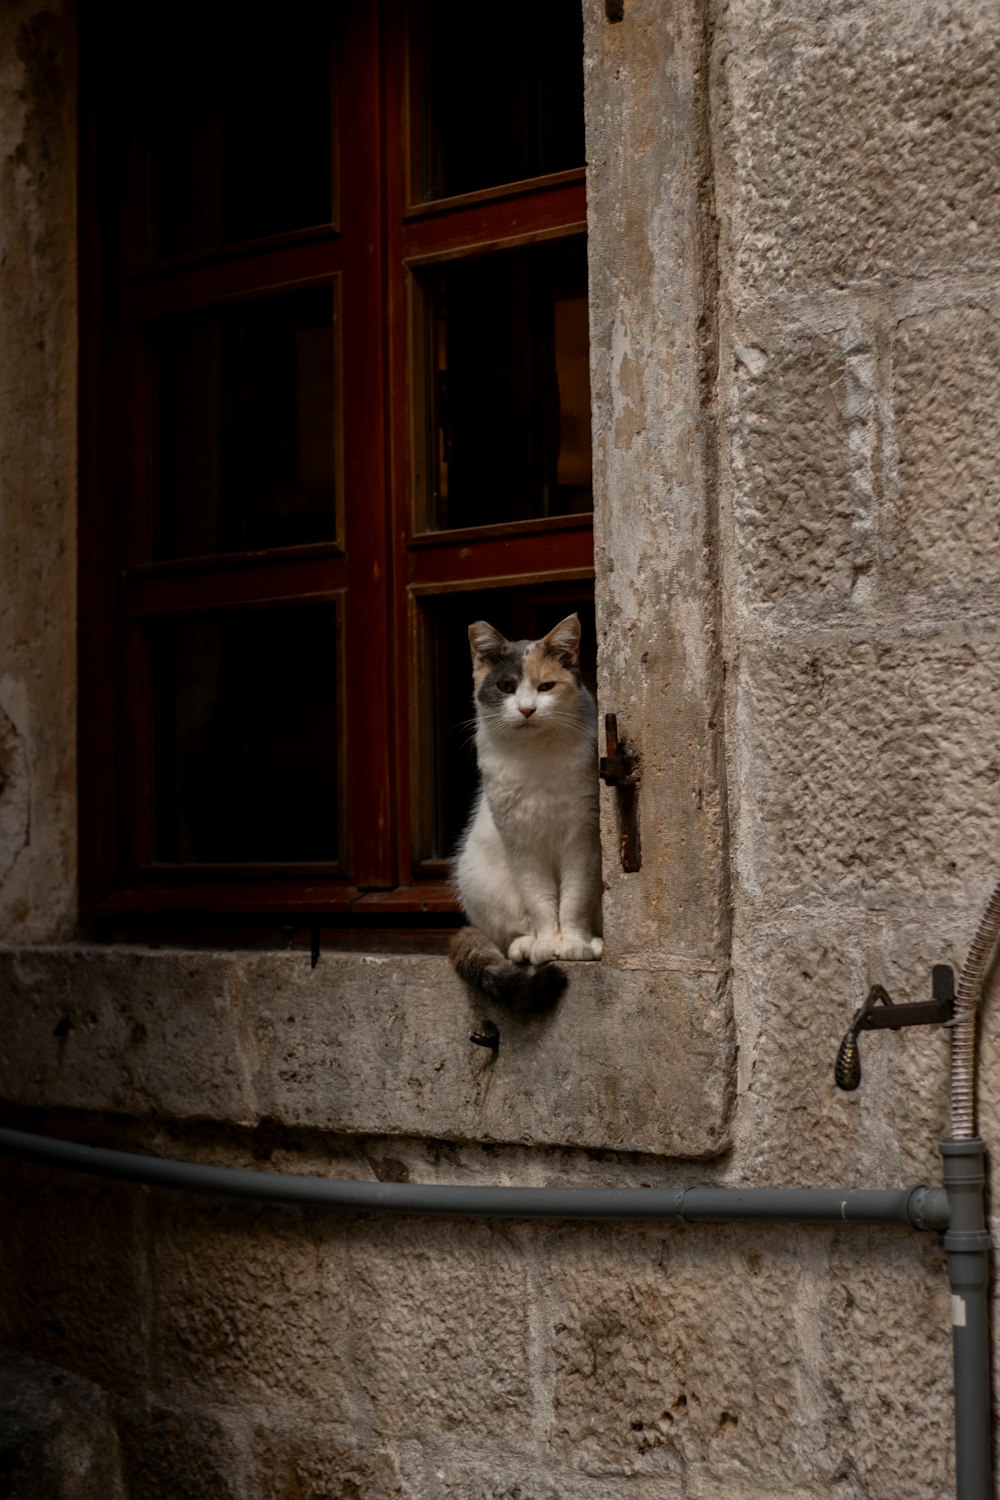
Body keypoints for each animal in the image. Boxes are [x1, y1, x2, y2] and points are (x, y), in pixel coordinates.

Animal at [452, 615, 602, 1014]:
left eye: (546, 686)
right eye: (505, 687)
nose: (526, 709)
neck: (536, 757)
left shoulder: (583, 837)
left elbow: (575, 897)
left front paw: (575, 944)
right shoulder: (521, 843)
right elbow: (539, 900)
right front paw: (548, 944)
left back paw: (596, 942)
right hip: (478, 874)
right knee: (509, 934)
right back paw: (526, 945)